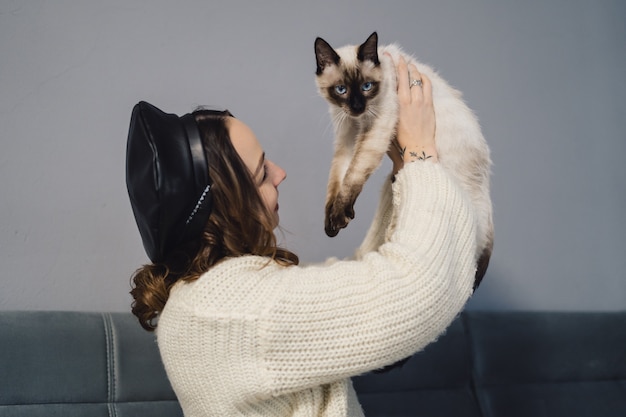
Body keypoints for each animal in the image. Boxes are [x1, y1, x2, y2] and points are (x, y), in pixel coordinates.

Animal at [314, 32, 490, 286]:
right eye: (341, 90)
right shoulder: (346, 134)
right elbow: (337, 180)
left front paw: (339, 216)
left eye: (367, 87)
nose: (357, 107)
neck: (359, 121)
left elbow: (353, 175)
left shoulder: (376, 128)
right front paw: (331, 224)